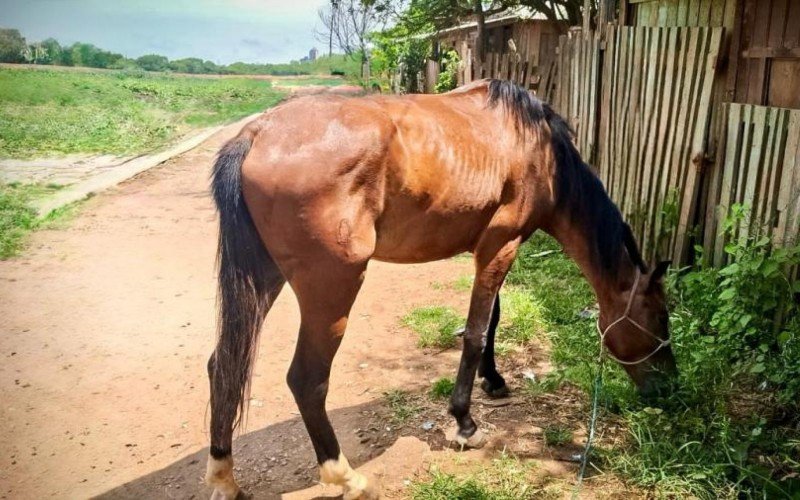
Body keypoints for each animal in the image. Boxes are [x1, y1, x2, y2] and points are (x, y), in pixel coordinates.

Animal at [204, 79, 677, 499]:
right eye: (660, 317)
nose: (669, 387)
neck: (539, 151)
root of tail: (255, 134)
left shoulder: (489, 250)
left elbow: (492, 320)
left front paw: (494, 381)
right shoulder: (501, 246)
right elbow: (476, 332)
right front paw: (465, 422)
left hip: (265, 277)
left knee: (223, 365)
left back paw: (224, 477)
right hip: (332, 290)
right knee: (307, 379)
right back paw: (347, 478)